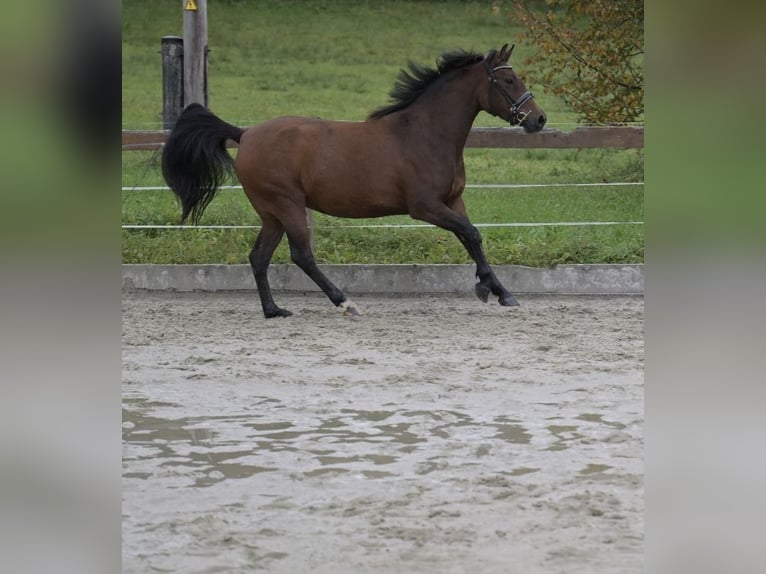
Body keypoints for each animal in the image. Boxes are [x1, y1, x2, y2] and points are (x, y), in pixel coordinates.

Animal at [162, 44, 544, 320]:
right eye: (509, 81)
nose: (538, 119)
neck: (424, 134)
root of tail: (245, 134)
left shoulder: (453, 201)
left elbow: (472, 238)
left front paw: (497, 291)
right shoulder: (425, 207)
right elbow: (471, 233)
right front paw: (492, 290)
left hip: (272, 214)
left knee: (258, 257)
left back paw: (274, 311)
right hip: (287, 205)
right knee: (302, 255)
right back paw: (345, 302)